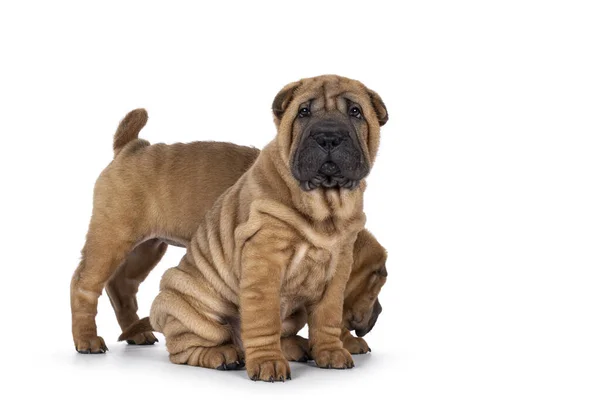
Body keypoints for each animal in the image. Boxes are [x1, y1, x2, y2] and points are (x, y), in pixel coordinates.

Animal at [148, 76, 386, 382]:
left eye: (355, 112)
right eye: (303, 112)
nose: (329, 137)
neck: (324, 206)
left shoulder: (338, 268)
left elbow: (328, 316)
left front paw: (331, 352)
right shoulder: (265, 259)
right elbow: (263, 319)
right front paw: (268, 363)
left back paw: (296, 347)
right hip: (188, 303)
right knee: (186, 347)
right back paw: (223, 355)